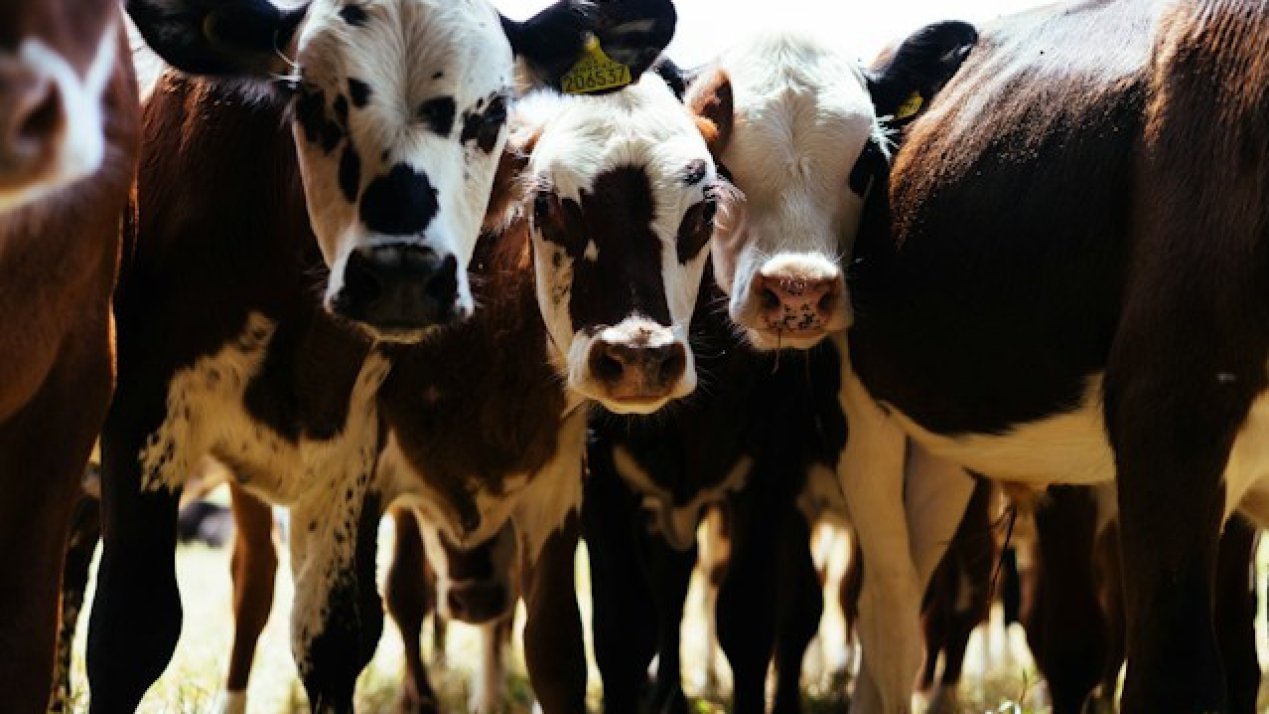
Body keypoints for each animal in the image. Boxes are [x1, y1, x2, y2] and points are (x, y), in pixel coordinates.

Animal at [87, 0, 680, 710]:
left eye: (491, 114)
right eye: (310, 102)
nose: (404, 273)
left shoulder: (347, 460)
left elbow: (334, 640)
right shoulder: (141, 422)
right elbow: (130, 633)